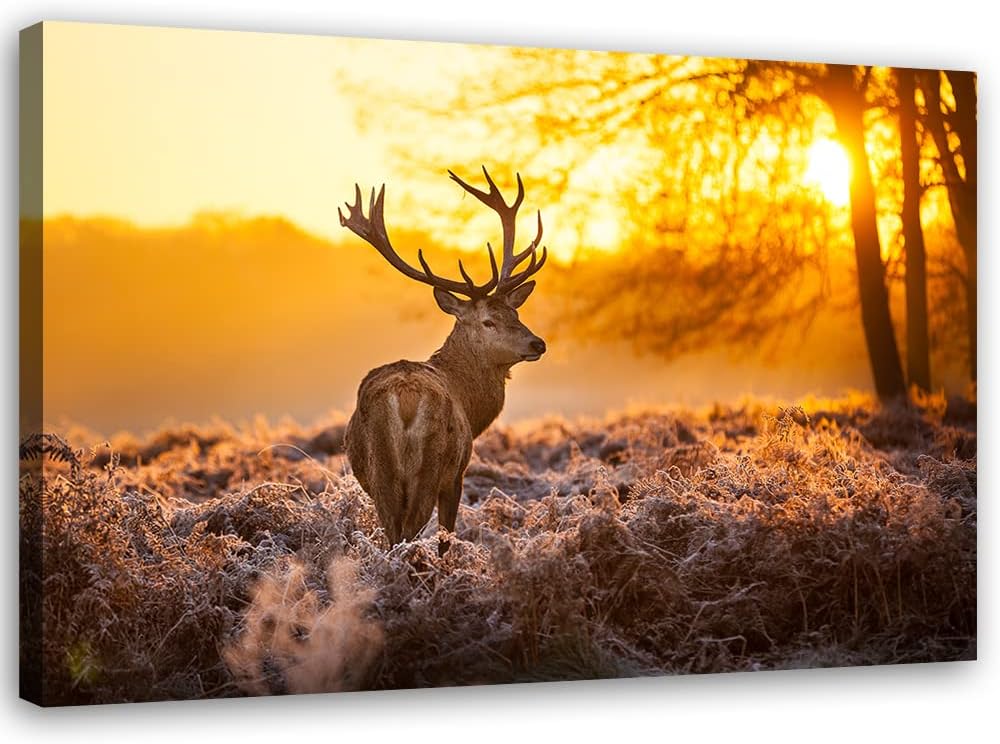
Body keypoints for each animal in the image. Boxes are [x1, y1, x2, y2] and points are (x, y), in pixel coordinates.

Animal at [338, 167, 548, 556]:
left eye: (515, 312)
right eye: (488, 321)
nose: (537, 342)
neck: (470, 403)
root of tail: (404, 398)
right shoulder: (457, 474)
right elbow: (446, 536)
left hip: (380, 473)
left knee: (393, 533)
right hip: (430, 466)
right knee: (410, 533)